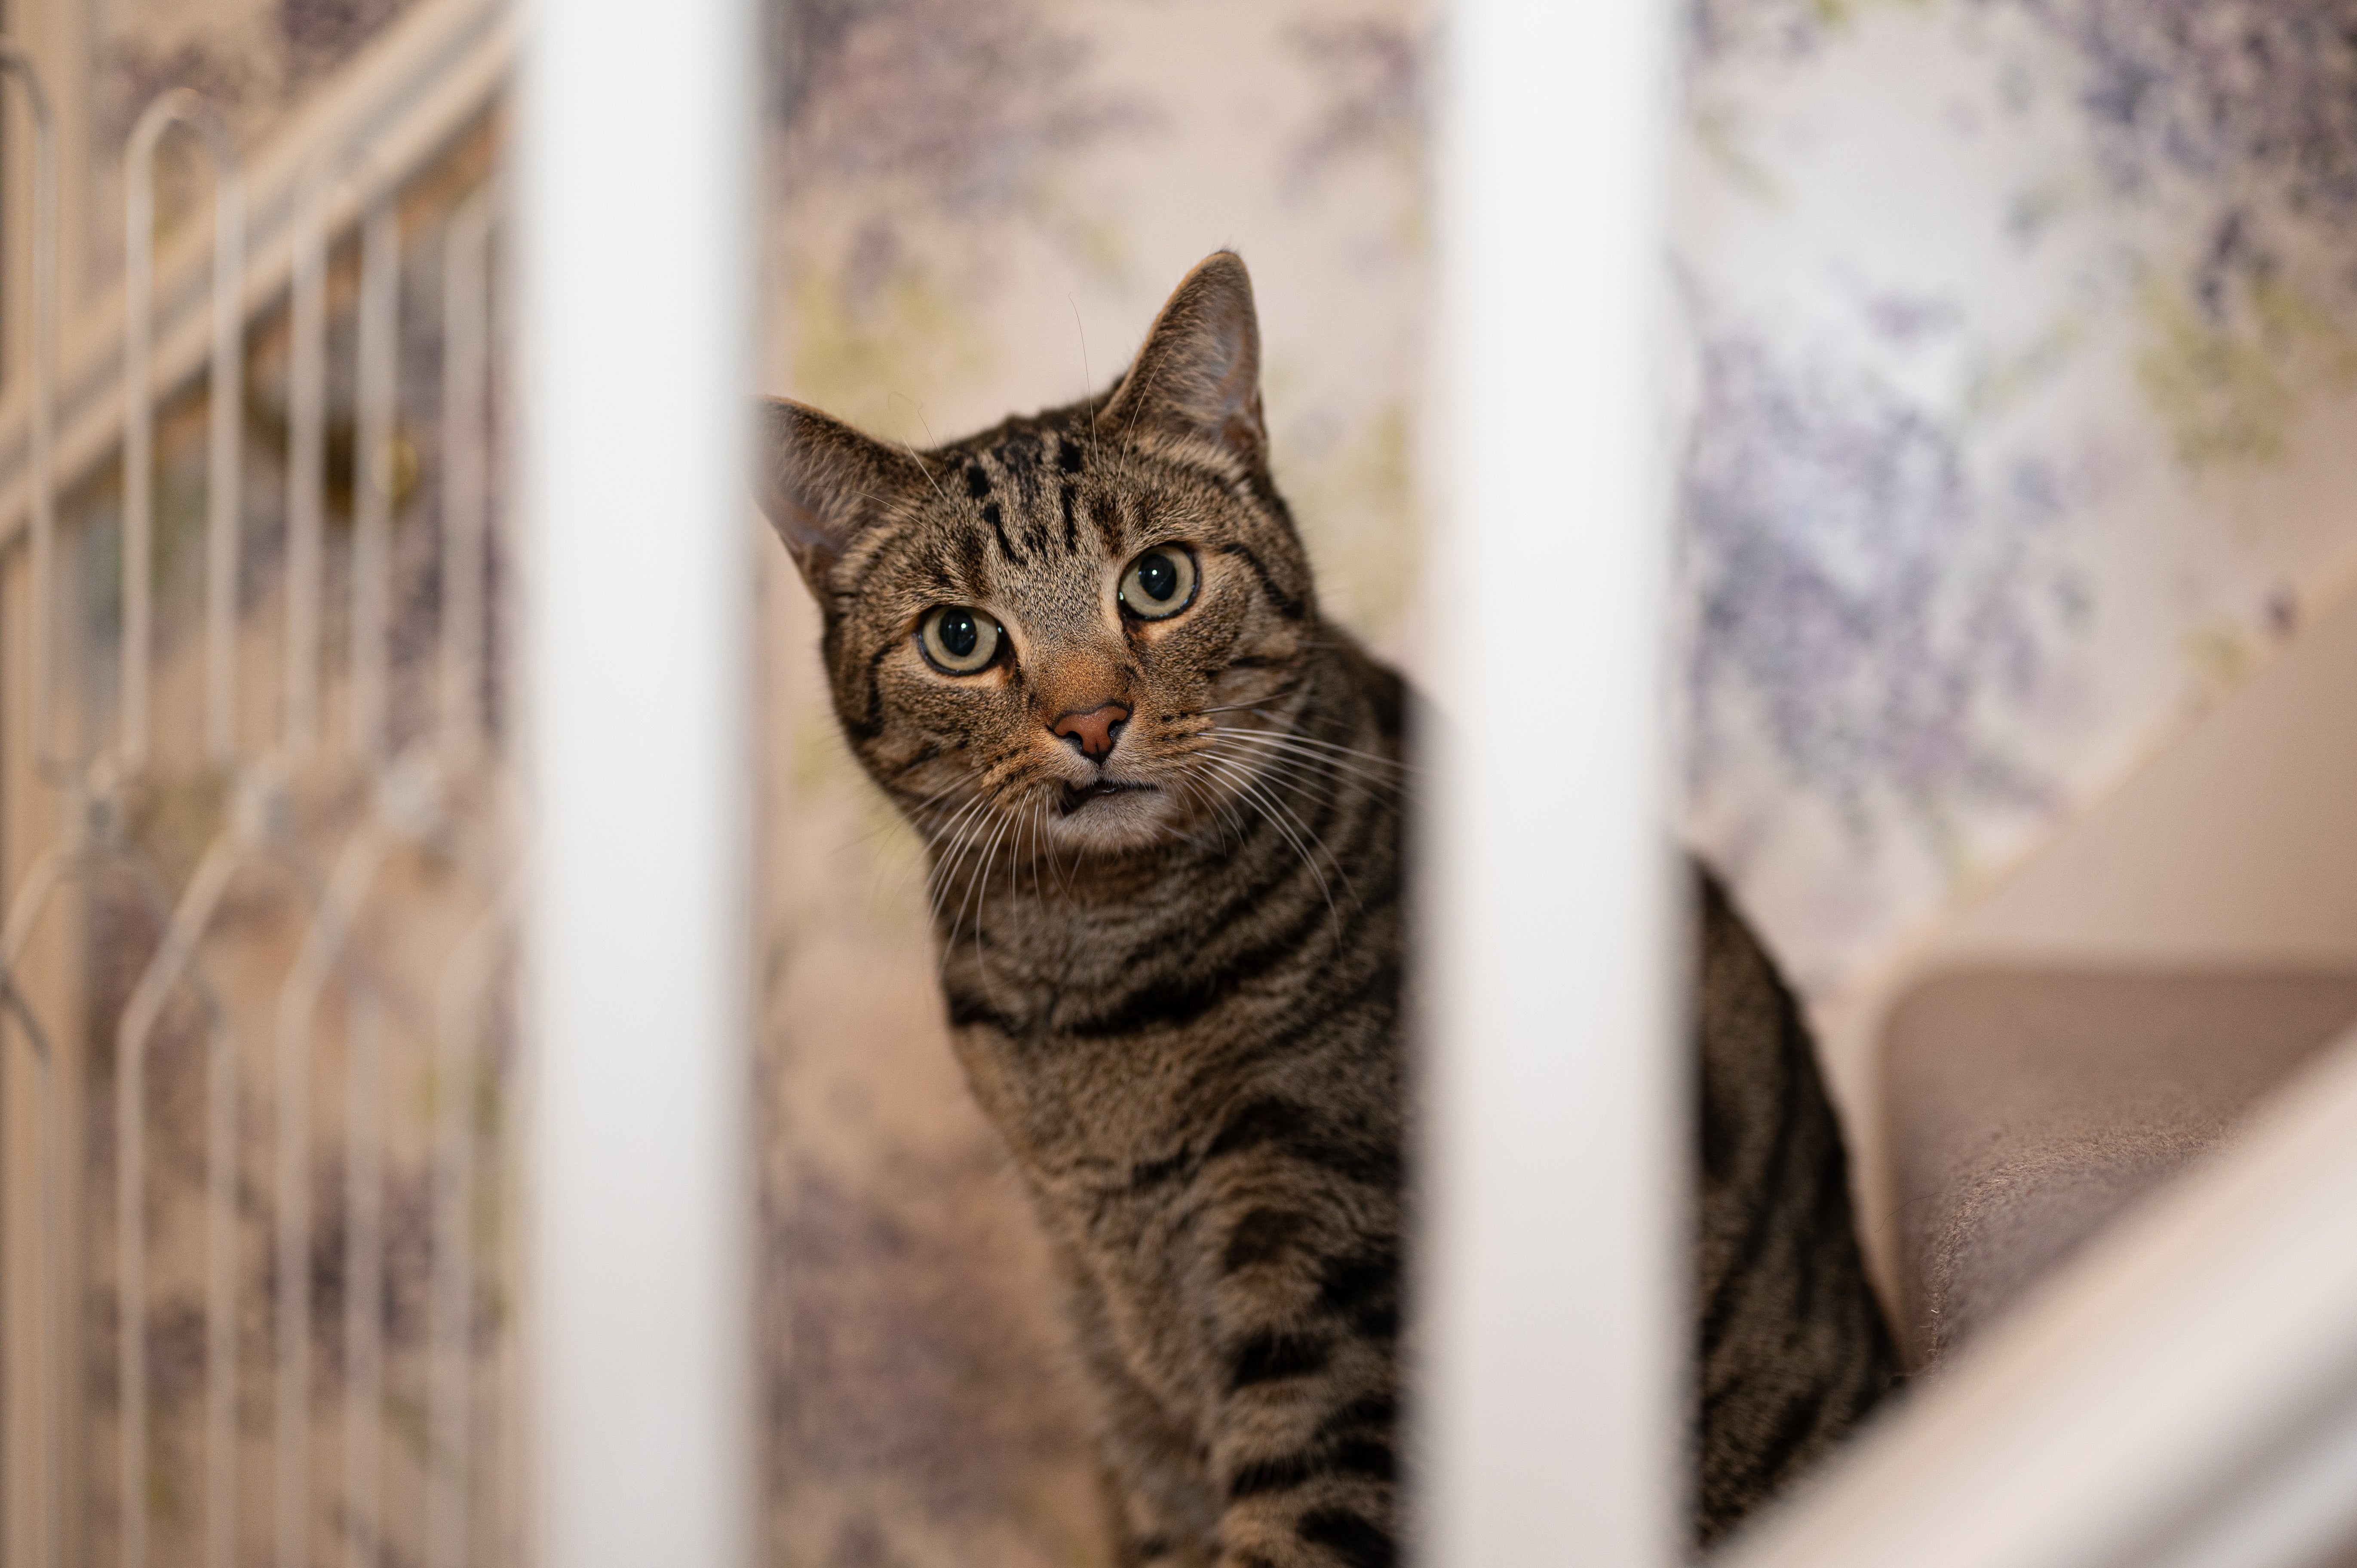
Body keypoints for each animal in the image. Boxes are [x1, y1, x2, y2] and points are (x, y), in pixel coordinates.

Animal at [757, 252, 1895, 1563]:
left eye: (1159, 580)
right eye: (959, 638)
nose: (1090, 721)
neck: (1091, 975)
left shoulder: (1328, 1261)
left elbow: (1298, 1515)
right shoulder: (1110, 1342)